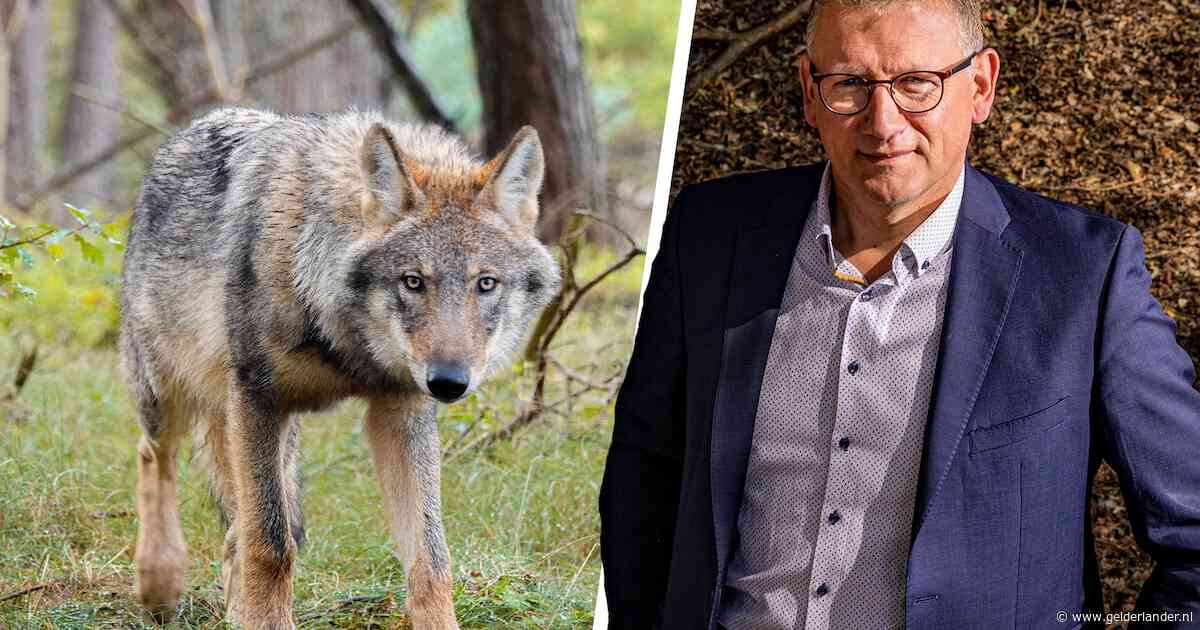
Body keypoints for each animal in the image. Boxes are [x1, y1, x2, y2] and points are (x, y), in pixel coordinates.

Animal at [119, 107, 561, 629]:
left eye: (486, 283)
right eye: (413, 282)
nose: (449, 383)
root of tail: (191, 128)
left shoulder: (401, 410)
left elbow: (431, 559)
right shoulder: (257, 398)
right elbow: (271, 546)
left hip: (266, 431)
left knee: (239, 524)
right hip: (171, 393)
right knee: (155, 455)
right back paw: (159, 581)